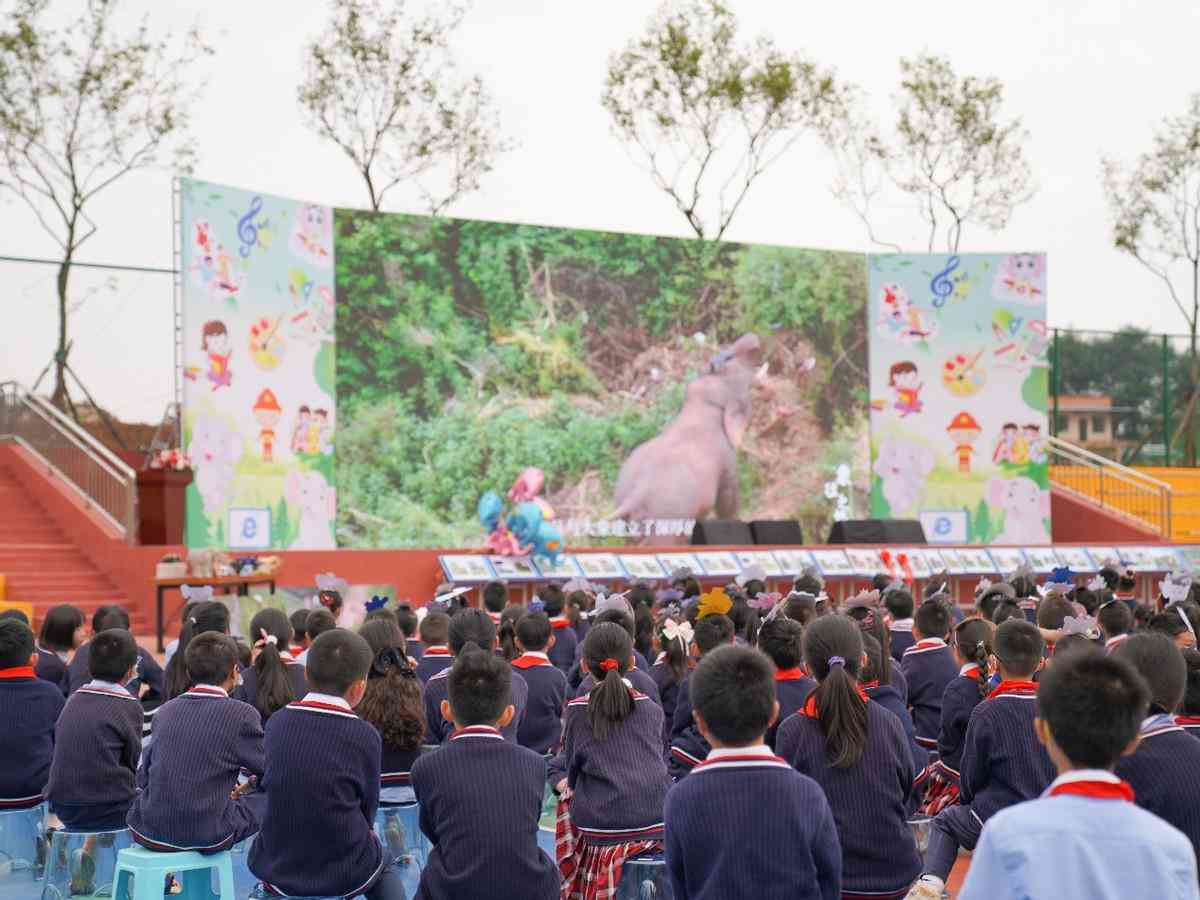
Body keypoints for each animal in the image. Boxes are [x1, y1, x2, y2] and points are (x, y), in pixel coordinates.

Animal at [614, 336, 763, 535]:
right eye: (729, 357)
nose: (752, 337)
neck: (702, 402)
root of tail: (634, 497)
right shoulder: (727, 466)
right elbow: (728, 501)